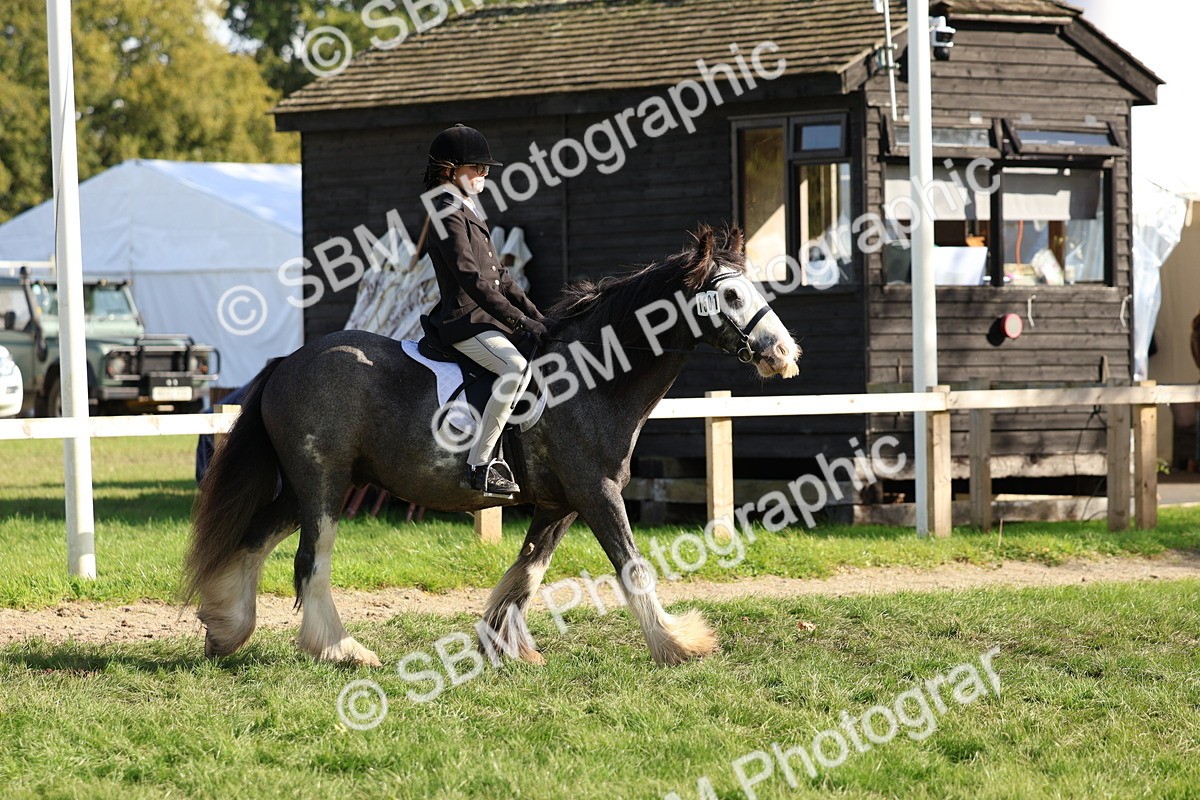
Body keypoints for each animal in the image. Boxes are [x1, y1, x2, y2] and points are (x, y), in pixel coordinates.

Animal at [182, 225, 801, 667]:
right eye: (731, 294)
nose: (784, 353)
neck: (593, 377)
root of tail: (288, 362)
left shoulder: (561, 503)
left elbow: (527, 572)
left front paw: (504, 645)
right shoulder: (597, 493)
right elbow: (632, 567)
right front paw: (678, 644)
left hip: (312, 486)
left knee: (255, 540)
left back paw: (225, 628)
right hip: (324, 486)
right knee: (311, 561)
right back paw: (341, 650)